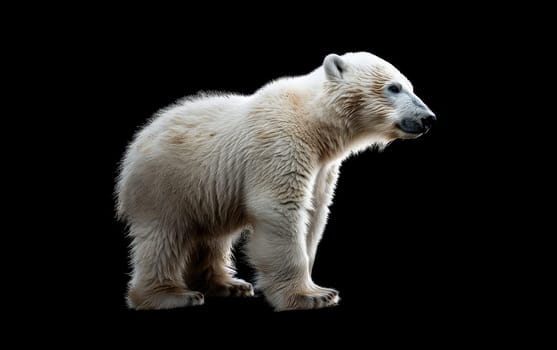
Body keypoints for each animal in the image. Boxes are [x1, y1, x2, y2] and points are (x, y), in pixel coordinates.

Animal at [114, 52, 434, 312]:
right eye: (394, 87)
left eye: (411, 86)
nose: (428, 118)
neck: (313, 122)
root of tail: (137, 143)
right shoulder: (281, 145)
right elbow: (281, 209)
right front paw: (310, 297)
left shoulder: (323, 167)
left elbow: (314, 214)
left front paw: (316, 288)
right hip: (166, 183)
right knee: (163, 237)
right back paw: (170, 295)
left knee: (212, 236)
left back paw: (228, 285)